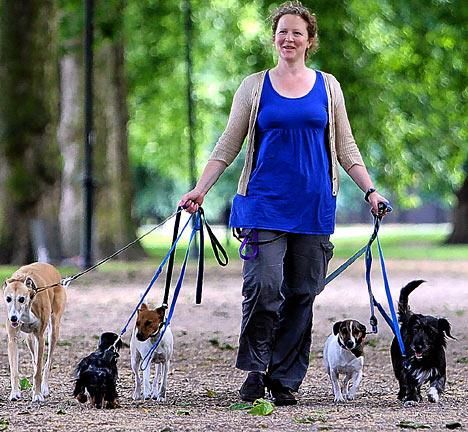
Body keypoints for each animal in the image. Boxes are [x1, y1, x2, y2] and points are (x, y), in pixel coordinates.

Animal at [2, 262, 66, 404]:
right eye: (8, 298)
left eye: (21, 299)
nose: (13, 318)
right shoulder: (12, 339)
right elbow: (14, 370)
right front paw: (15, 393)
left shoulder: (40, 337)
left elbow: (38, 372)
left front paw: (37, 395)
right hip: (29, 339)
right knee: (35, 360)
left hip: (53, 331)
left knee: (47, 362)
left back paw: (44, 388)